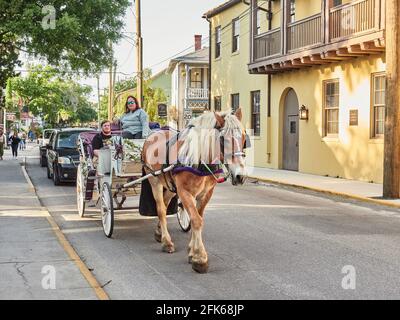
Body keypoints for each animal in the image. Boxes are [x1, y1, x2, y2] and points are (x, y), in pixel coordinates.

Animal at [141, 107, 247, 272]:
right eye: (223, 139)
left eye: (243, 138)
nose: (240, 176)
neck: (200, 160)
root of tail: (154, 133)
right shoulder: (185, 192)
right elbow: (196, 220)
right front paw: (200, 257)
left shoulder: (206, 193)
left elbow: (197, 217)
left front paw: (192, 251)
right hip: (154, 180)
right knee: (161, 209)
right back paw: (166, 241)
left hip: (170, 186)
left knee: (165, 204)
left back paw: (159, 232)